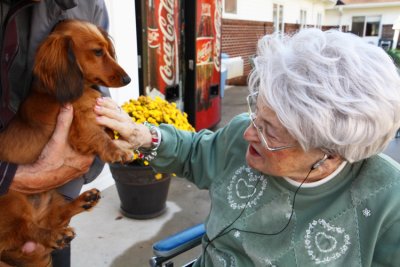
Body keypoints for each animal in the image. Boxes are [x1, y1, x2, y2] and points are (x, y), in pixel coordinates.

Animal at [0, 19, 133, 266]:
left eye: (106, 49)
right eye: (97, 52)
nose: (128, 79)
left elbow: (112, 129)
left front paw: (130, 137)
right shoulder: (80, 127)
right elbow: (100, 136)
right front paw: (118, 151)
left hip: (50, 195)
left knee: (55, 216)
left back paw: (84, 200)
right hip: (13, 199)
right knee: (25, 229)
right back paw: (55, 236)